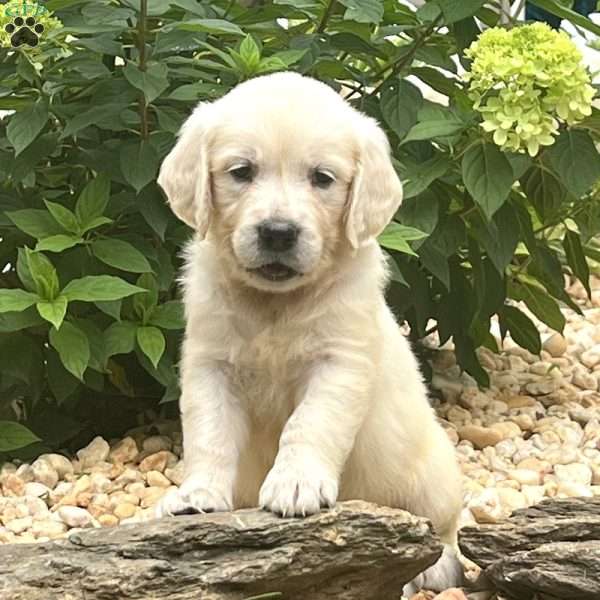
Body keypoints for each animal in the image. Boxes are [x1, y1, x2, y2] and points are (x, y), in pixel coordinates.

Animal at [156, 72, 464, 592]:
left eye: (322, 178)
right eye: (241, 171)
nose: (278, 232)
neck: (275, 304)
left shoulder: (338, 362)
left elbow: (310, 423)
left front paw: (295, 484)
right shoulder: (209, 365)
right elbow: (208, 432)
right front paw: (196, 495)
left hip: (431, 475)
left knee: (441, 526)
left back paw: (433, 567)